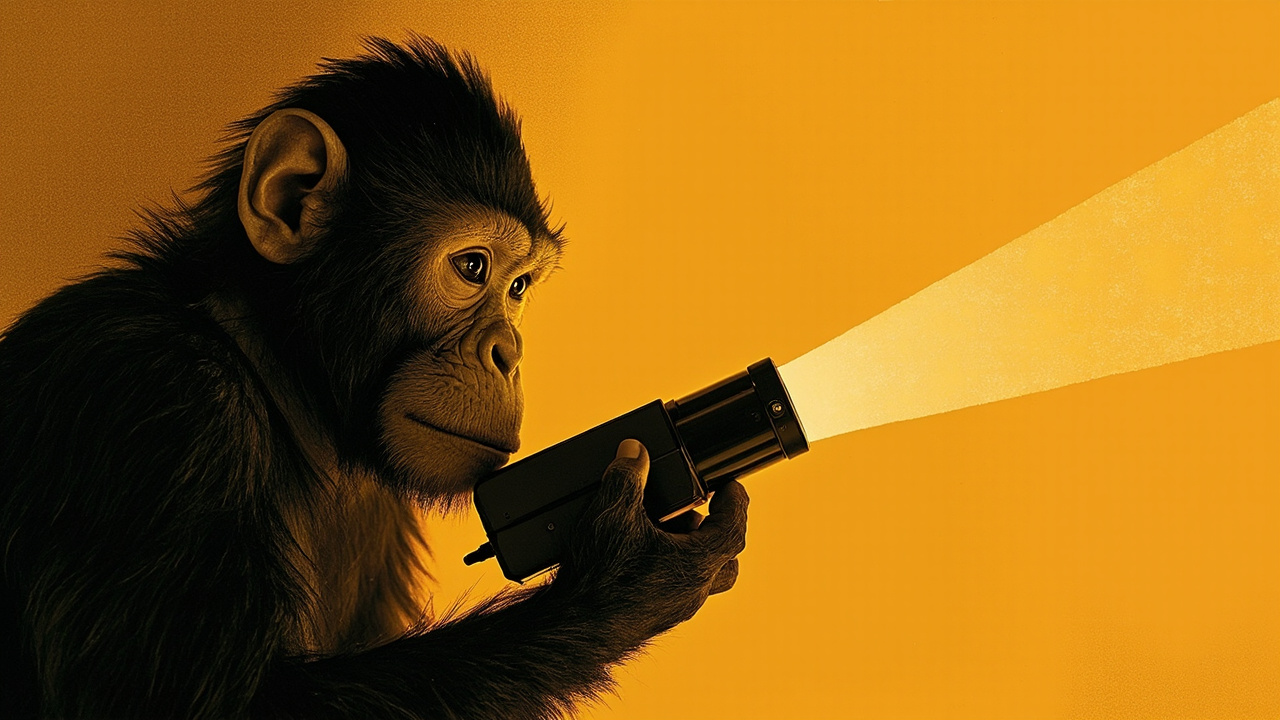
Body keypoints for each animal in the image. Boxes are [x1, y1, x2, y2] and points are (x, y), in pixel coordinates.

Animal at [0, 36, 748, 719]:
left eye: (519, 287)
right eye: (472, 267)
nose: (509, 351)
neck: (282, 384)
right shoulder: (157, 400)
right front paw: (628, 577)